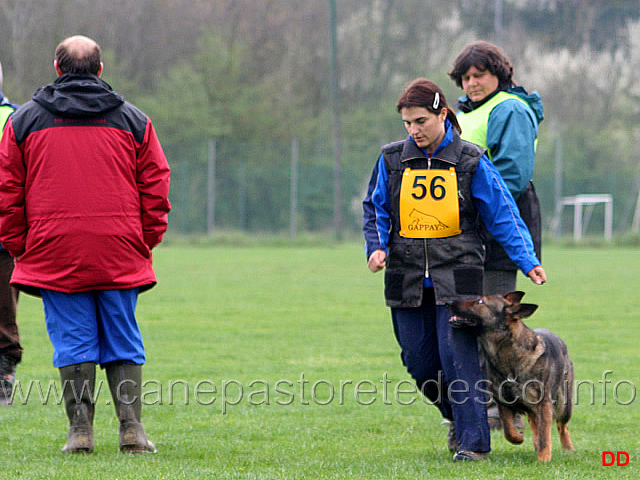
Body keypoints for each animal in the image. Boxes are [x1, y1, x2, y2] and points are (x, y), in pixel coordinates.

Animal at [450, 290, 576, 464]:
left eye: (480, 301)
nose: (448, 302)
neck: (508, 354)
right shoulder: (504, 402)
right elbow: (509, 430)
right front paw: (519, 438)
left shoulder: (544, 403)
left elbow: (545, 435)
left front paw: (544, 458)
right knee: (534, 423)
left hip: (564, 405)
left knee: (562, 426)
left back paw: (568, 449)